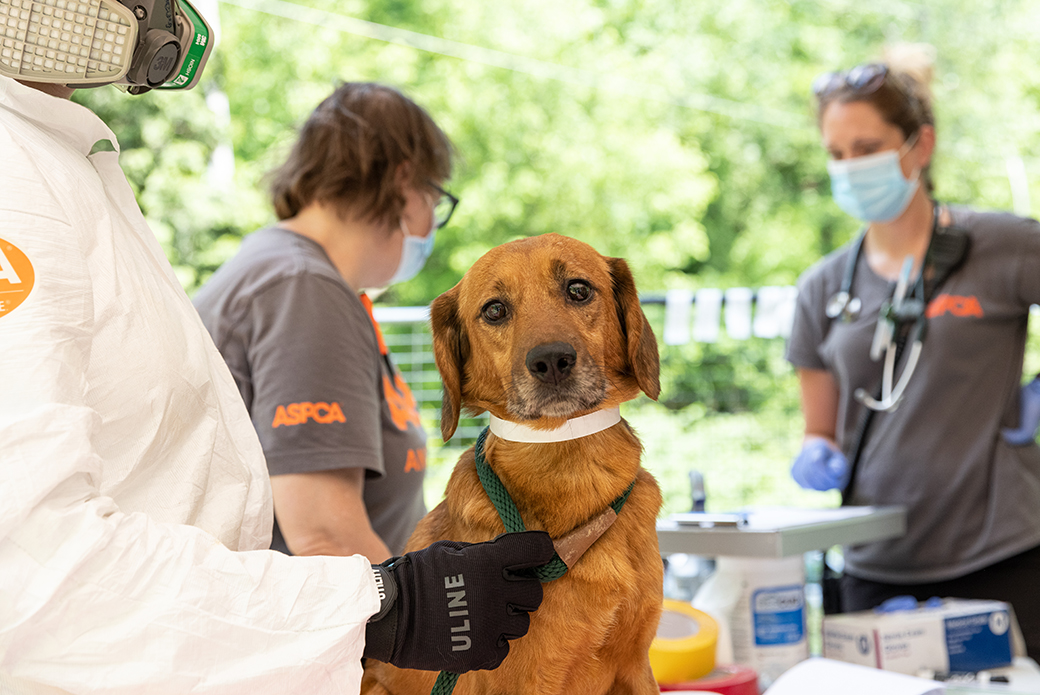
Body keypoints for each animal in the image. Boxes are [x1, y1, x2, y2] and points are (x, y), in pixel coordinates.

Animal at [361, 233, 661, 695]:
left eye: (578, 289)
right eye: (495, 310)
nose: (551, 360)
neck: (566, 458)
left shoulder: (635, 668)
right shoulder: (522, 682)